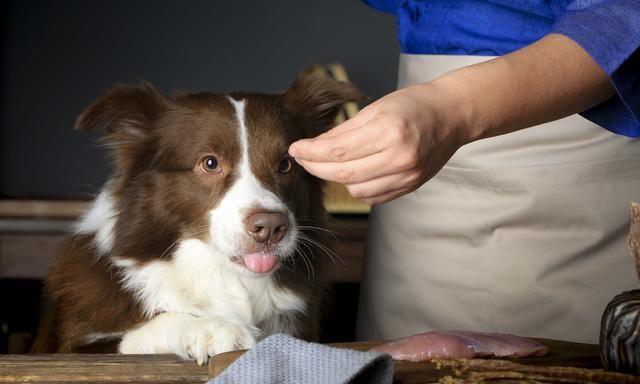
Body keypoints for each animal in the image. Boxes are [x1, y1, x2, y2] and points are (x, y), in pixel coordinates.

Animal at [32, 71, 362, 364]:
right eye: (210, 163)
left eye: (285, 164)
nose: (270, 228)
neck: (226, 278)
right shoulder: (71, 349)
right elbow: (132, 335)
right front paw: (210, 327)